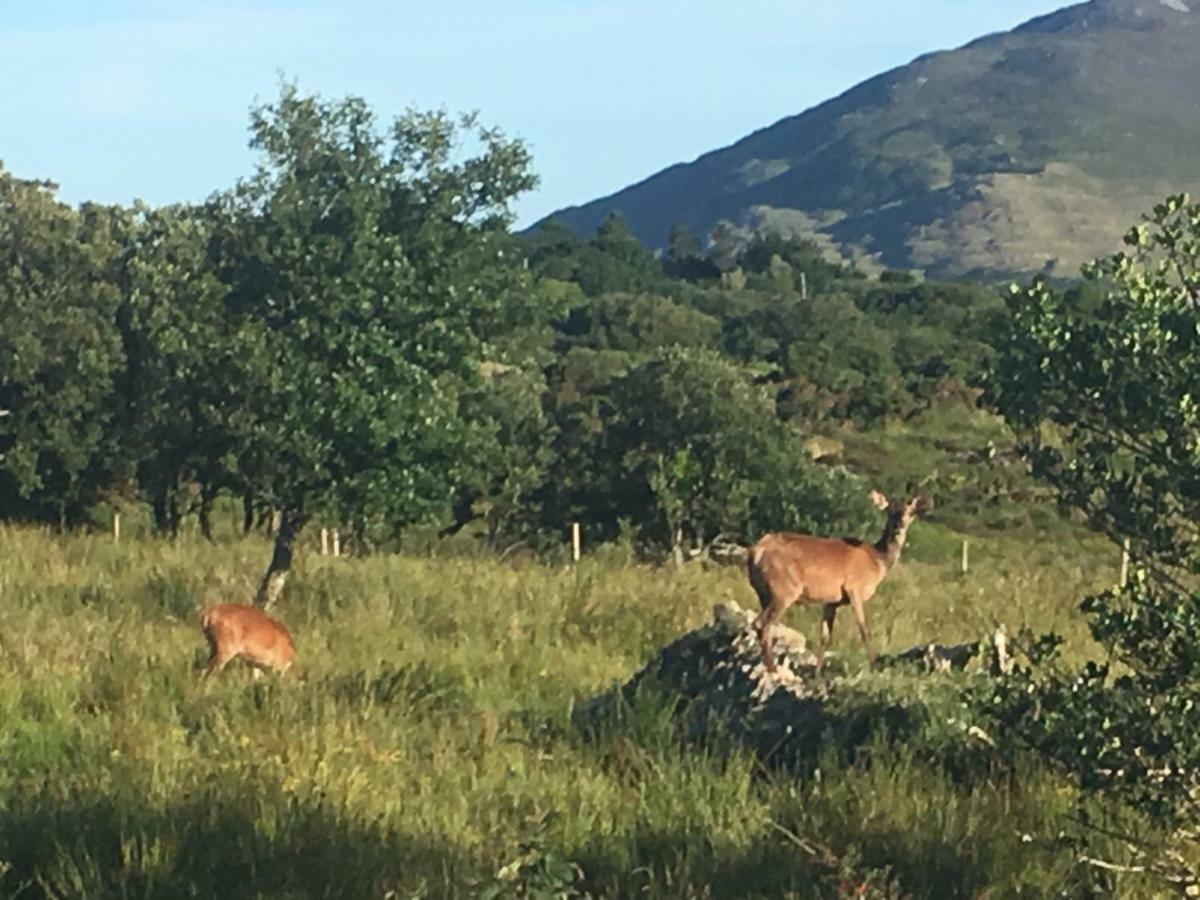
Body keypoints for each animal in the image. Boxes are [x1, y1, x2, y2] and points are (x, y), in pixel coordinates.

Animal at [744, 494, 931, 676]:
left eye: (910, 512)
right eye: (889, 511)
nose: (899, 526)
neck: (877, 563)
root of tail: (756, 551)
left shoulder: (831, 600)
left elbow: (825, 636)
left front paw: (817, 672)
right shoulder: (854, 589)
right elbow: (864, 631)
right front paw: (874, 667)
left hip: (764, 593)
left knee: (766, 625)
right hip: (785, 589)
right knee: (762, 624)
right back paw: (772, 668)